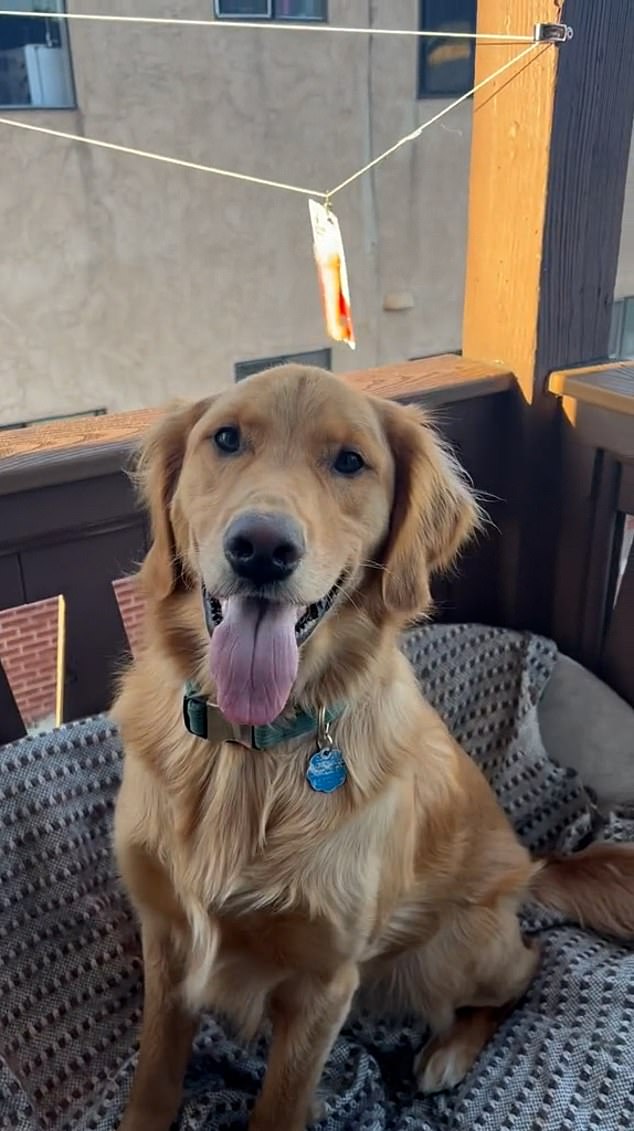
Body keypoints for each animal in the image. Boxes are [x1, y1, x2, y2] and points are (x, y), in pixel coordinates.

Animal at [113, 366, 632, 1131]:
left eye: (351, 462)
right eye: (226, 439)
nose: (261, 547)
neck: (248, 751)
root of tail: (532, 866)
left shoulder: (325, 981)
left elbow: (280, 1101)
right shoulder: (168, 936)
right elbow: (153, 1074)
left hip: (445, 953)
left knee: (529, 959)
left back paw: (448, 1052)